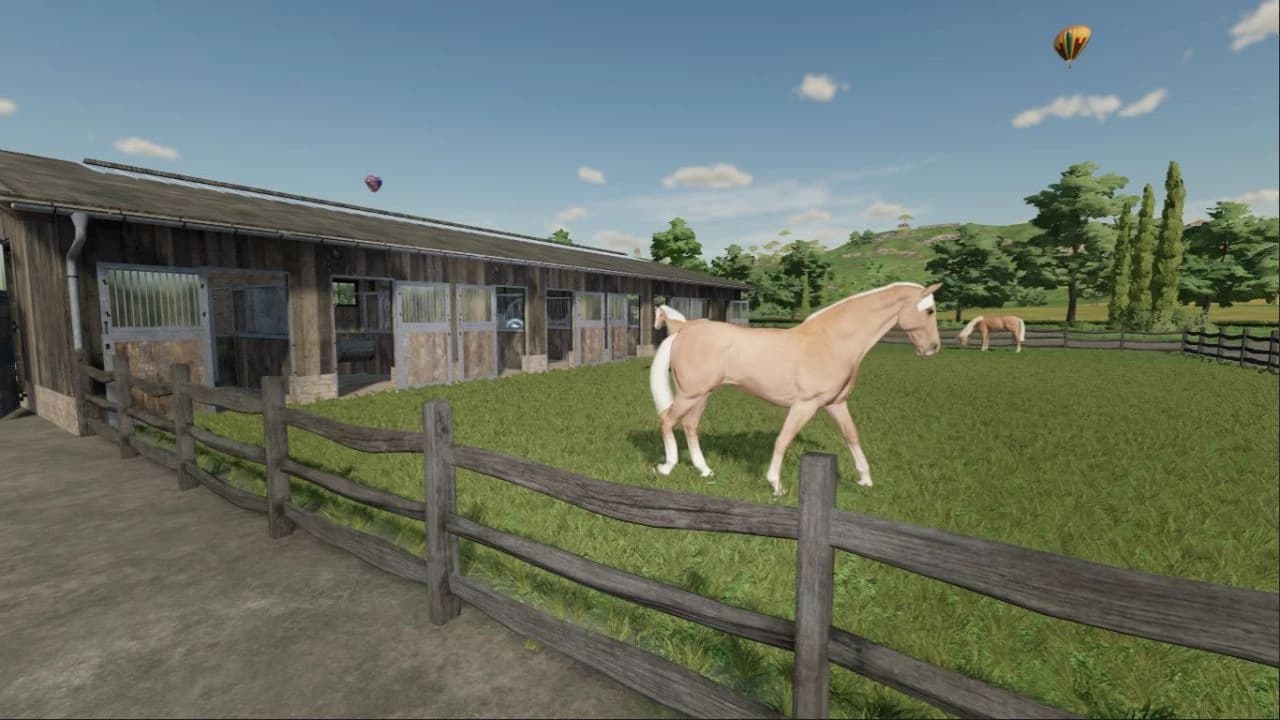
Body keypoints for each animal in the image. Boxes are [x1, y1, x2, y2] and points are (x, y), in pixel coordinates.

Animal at [648, 281, 943, 496]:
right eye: (929, 311)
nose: (933, 348)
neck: (831, 341)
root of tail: (684, 329)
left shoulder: (836, 404)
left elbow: (851, 436)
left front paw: (865, 480)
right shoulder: (806, 405)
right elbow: (783, 439)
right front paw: (776, 485)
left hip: (701, 394)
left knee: (689, 425)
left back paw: (705, 470)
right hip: (691, 394)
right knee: (667, 419)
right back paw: (666, 467)